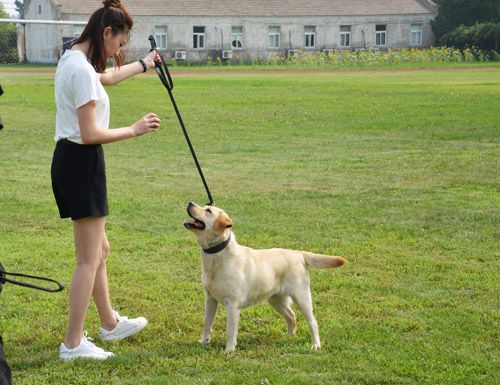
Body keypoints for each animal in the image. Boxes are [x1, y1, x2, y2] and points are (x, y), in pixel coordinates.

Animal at [182, 201, 346, 352]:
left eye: (208, 210)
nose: (190, 203)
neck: (216, 256)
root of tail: (298, 253)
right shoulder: (210, 298)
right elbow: (207, 323)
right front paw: (203, 342)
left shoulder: (233, 304)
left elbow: (230, 331)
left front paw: (229, 351)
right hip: (276, 299)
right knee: (291, 315)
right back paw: (289, 336)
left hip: (301, 297)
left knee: (313, 322)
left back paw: (315, 345)